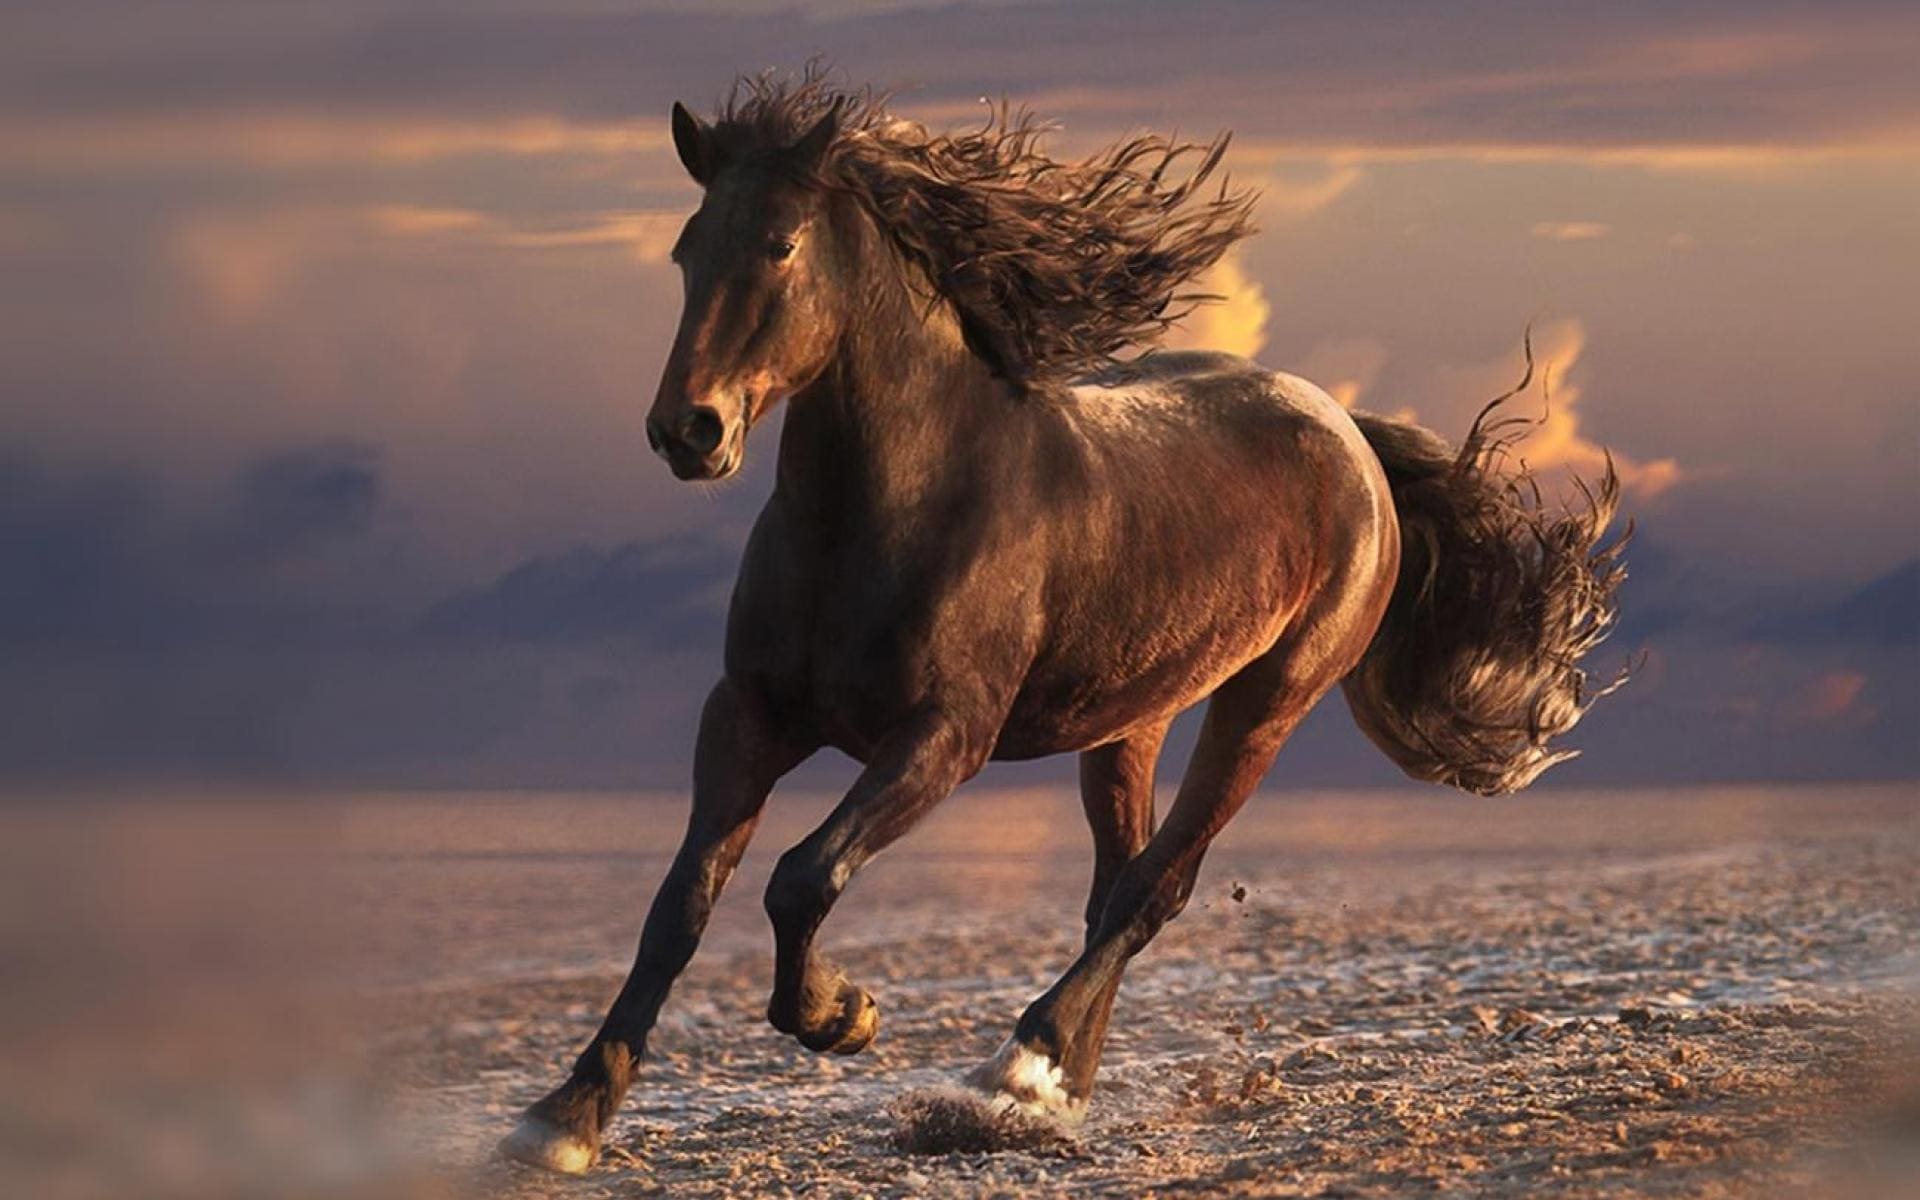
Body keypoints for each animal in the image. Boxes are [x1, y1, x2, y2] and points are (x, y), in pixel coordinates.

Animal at [501, 72, 1627, 1174]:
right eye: (688, 249)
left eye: (780, 243)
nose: (687, 431)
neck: (891, 509)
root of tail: (1347, 433)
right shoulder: (746, 717)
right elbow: (681, 904)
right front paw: (566, 1117)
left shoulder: (944, 738)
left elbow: (801, 876)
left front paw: (843, 1015)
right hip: (1132, 720)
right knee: (1117, 883)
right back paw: (1055, 1090)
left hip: (1269, 701)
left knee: (1157, 883)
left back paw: (1023, 1068)